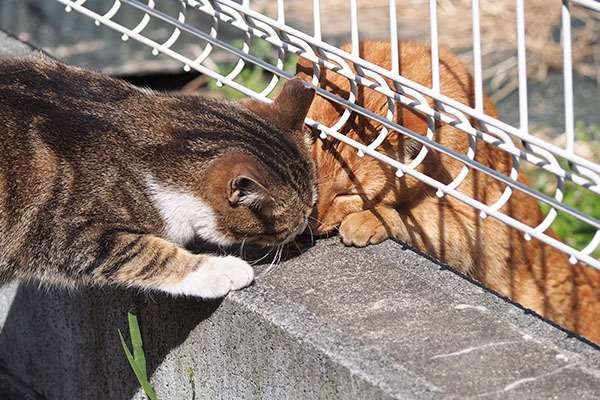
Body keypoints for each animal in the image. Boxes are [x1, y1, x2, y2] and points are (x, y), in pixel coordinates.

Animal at [0, 52, 316, 296]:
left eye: (312, 205)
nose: (304, 226)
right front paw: (218, 270)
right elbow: (145, 252)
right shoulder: (66, 233)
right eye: (294, 220)